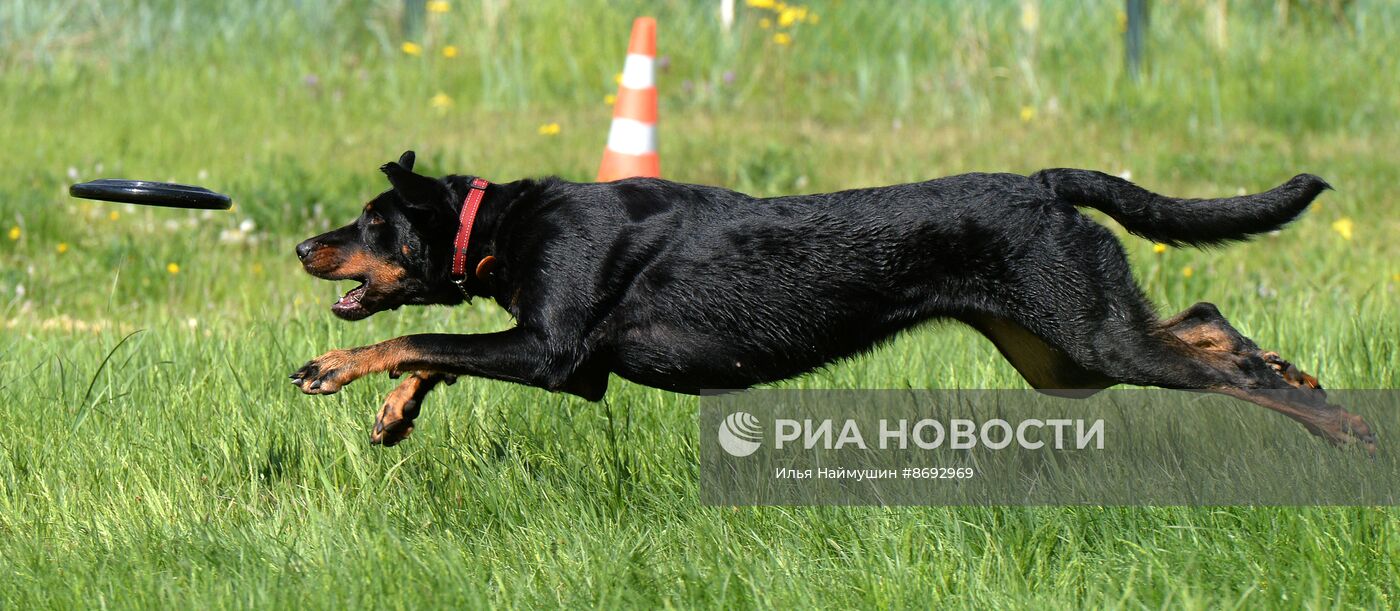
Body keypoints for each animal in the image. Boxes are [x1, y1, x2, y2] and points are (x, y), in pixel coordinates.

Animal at [289, 152, 1372, 448]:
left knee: (1210, 357)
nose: (304, 244)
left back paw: (1338, 422)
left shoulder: (558, 355)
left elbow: (425, 335)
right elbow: (433, 351)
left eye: (372, 222)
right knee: (1204, 326)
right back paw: (1294, 371)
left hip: (1086, 337)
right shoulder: (553, 356)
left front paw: (338, 369)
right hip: (1061, 355)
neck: (506, 222)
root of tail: (1043, 181)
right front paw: (392, 412)